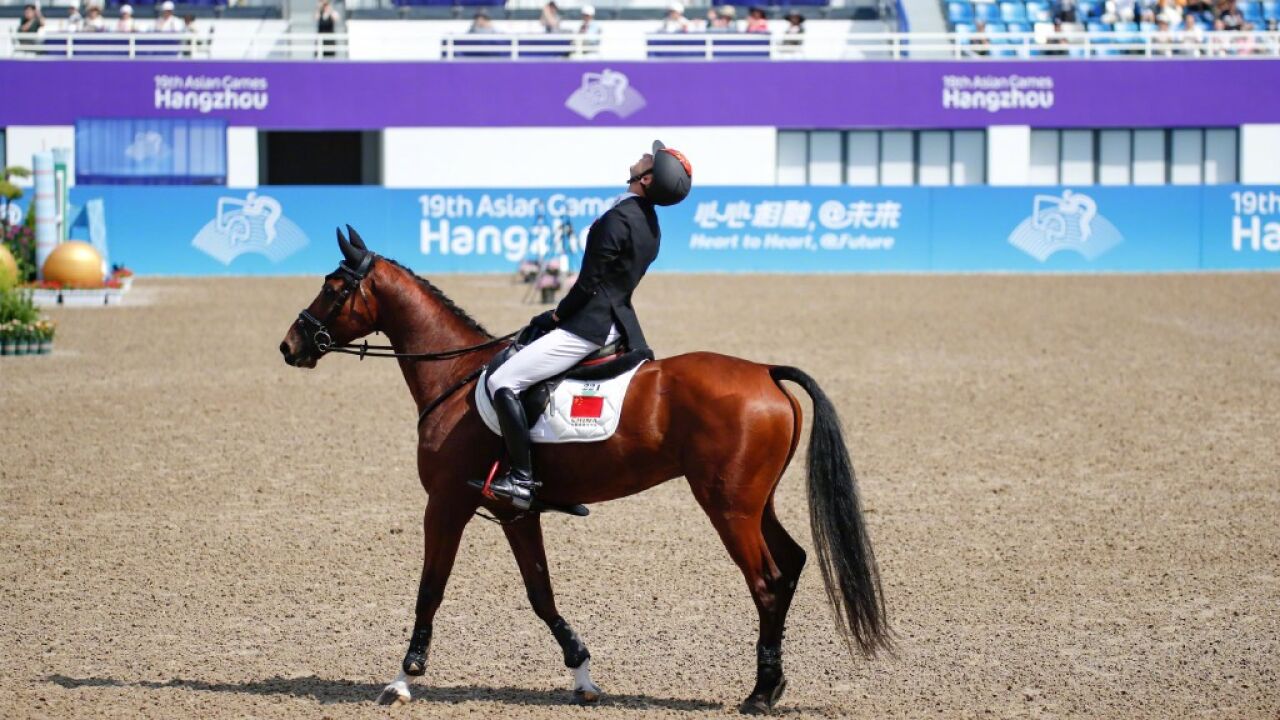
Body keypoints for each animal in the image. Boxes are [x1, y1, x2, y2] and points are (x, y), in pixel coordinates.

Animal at [280, 228, 890, 712]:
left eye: (333, 288)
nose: (290, 345)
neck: (454, 377)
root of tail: (765, 371)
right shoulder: (514, 512)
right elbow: (540, 592)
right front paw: (582, 673)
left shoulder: (447, 503)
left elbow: (431, 588)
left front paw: (403, 679)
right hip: (754, 501)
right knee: (791, 565)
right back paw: (772, 685)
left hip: (728, 506)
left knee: (766, 582)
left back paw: (760, 694)